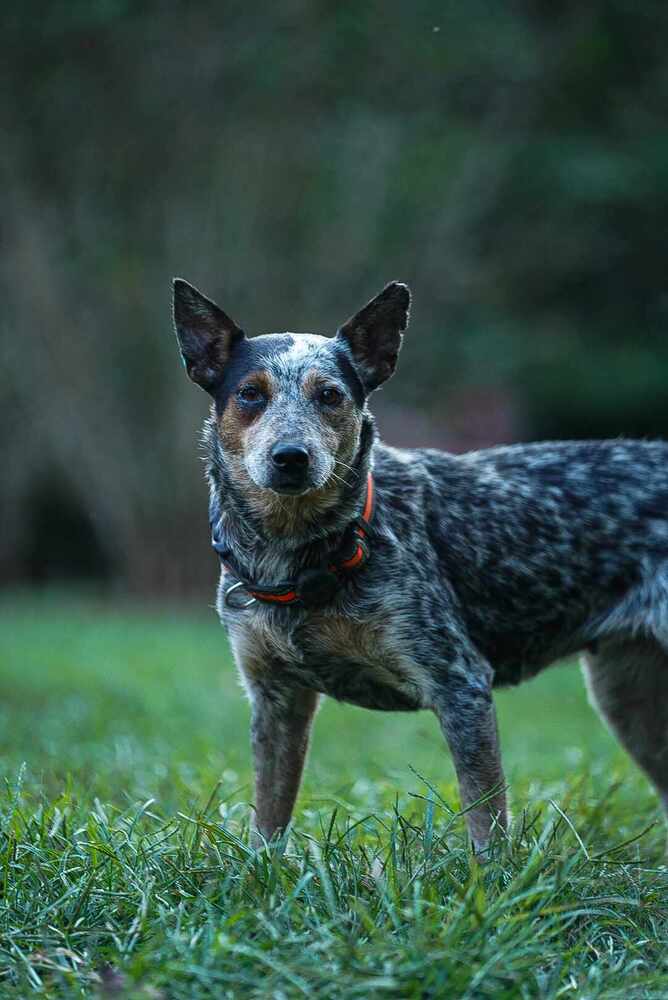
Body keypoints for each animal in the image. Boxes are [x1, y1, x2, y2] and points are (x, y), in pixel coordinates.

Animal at [174, 278, 668, 856]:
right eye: (250, 393)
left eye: (330, 395)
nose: (291, 455)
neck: (301, 555)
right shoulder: (275, 697)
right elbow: (270, 810)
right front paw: (262, 869)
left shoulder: (460, 683)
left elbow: (485, 814)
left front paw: (491, 876)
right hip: (629, 694)